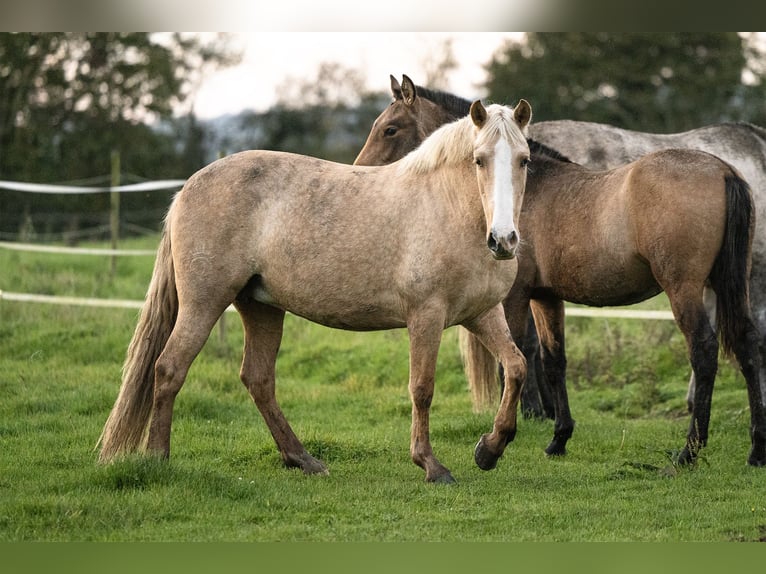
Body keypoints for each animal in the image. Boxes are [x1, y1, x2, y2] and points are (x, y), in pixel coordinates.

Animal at [97, 101, 536, 484]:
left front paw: (489, 449)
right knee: (170, 368)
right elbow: (422, 389)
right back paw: (158, 457)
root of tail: (186, 189)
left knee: (258, 379)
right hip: (203, 304)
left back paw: (302, 459)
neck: (450, 207)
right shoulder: (425, 317)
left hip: (260, 308)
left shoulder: (482, 313)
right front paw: (431, 465)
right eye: (479, 159)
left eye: (524, 159)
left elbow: (516, 367)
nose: (503, 240)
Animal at [358, 75, 766, 468]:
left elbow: (515, 358)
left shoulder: (516, 296)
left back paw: (689, 451)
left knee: (704, 350)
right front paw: (559, 438)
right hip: (731, 284)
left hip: (684, 287)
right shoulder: (546, 297)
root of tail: (724, 170)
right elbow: (554, 360)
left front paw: (499, 439)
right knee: (747, 344)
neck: (525, 188)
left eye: (390, 129)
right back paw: (755, 449)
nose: (361, 176)